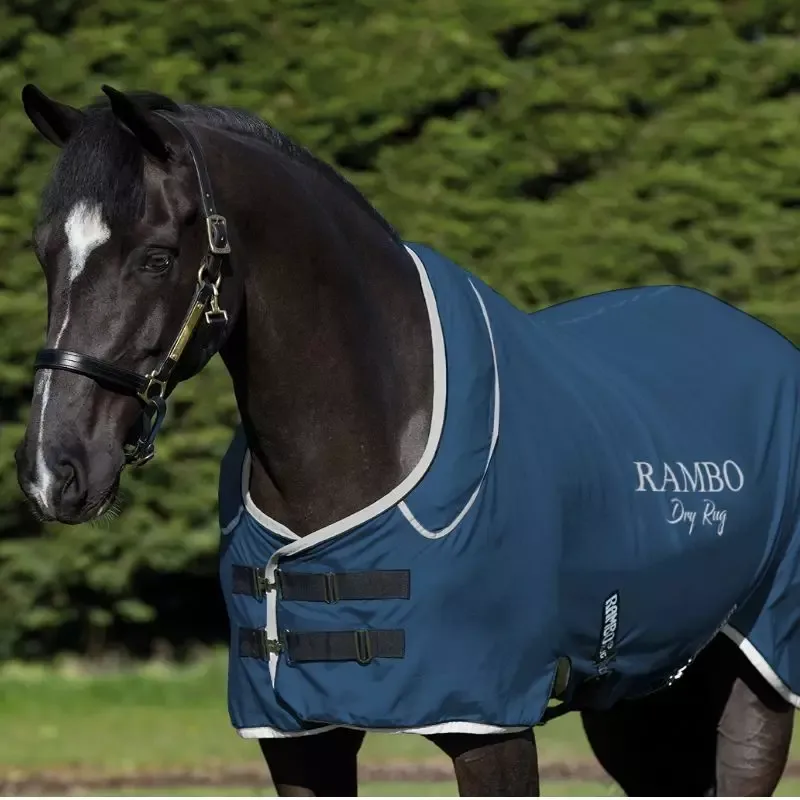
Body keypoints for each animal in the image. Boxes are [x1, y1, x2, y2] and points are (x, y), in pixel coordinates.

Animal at [13, 84, 799, 796]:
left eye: (154, 257)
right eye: (44, 253)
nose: (52, 469)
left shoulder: (489, 725)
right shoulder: (299, 739)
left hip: (757, 677)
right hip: (642, 701)